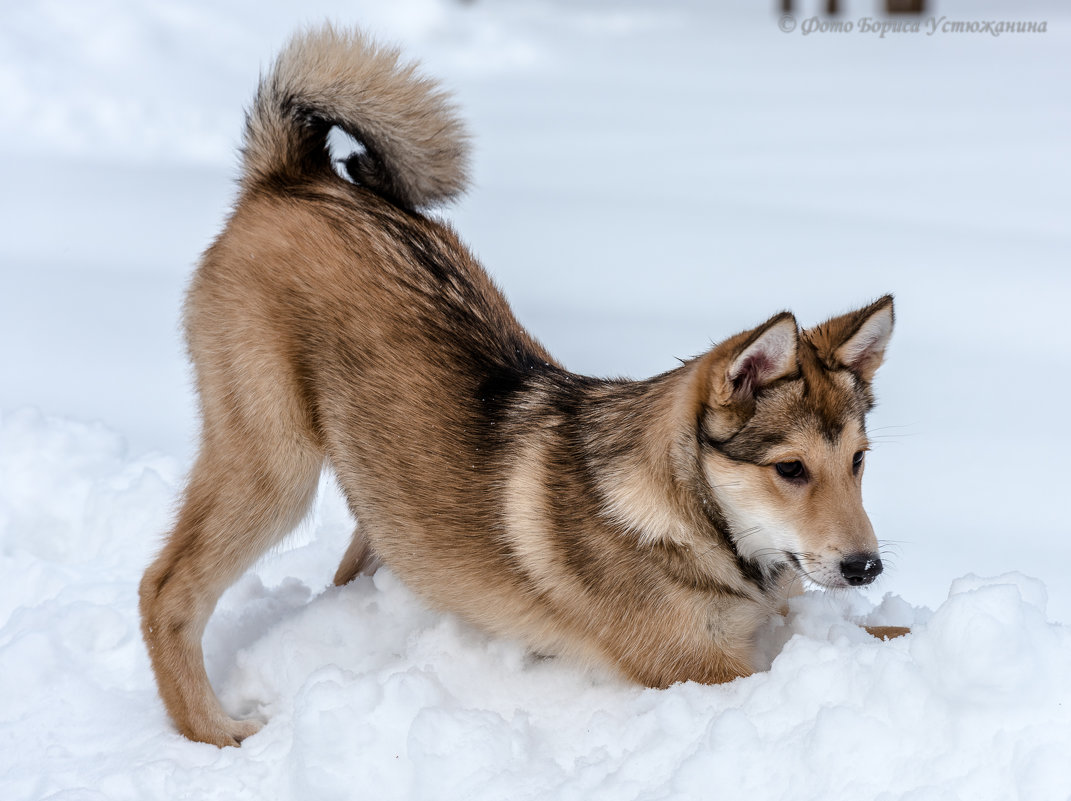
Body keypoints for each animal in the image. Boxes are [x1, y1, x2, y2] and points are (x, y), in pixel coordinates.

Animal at [133, 26, 903, 749]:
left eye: (858, 461)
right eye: (790, 469)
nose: (866, 566)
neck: (693, 519)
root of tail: (294, 174)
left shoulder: (782, 615)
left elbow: (876, 636)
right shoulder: (695, 665)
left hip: (381, 488)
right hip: (275, 466)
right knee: (163, 588)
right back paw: (213, 731)